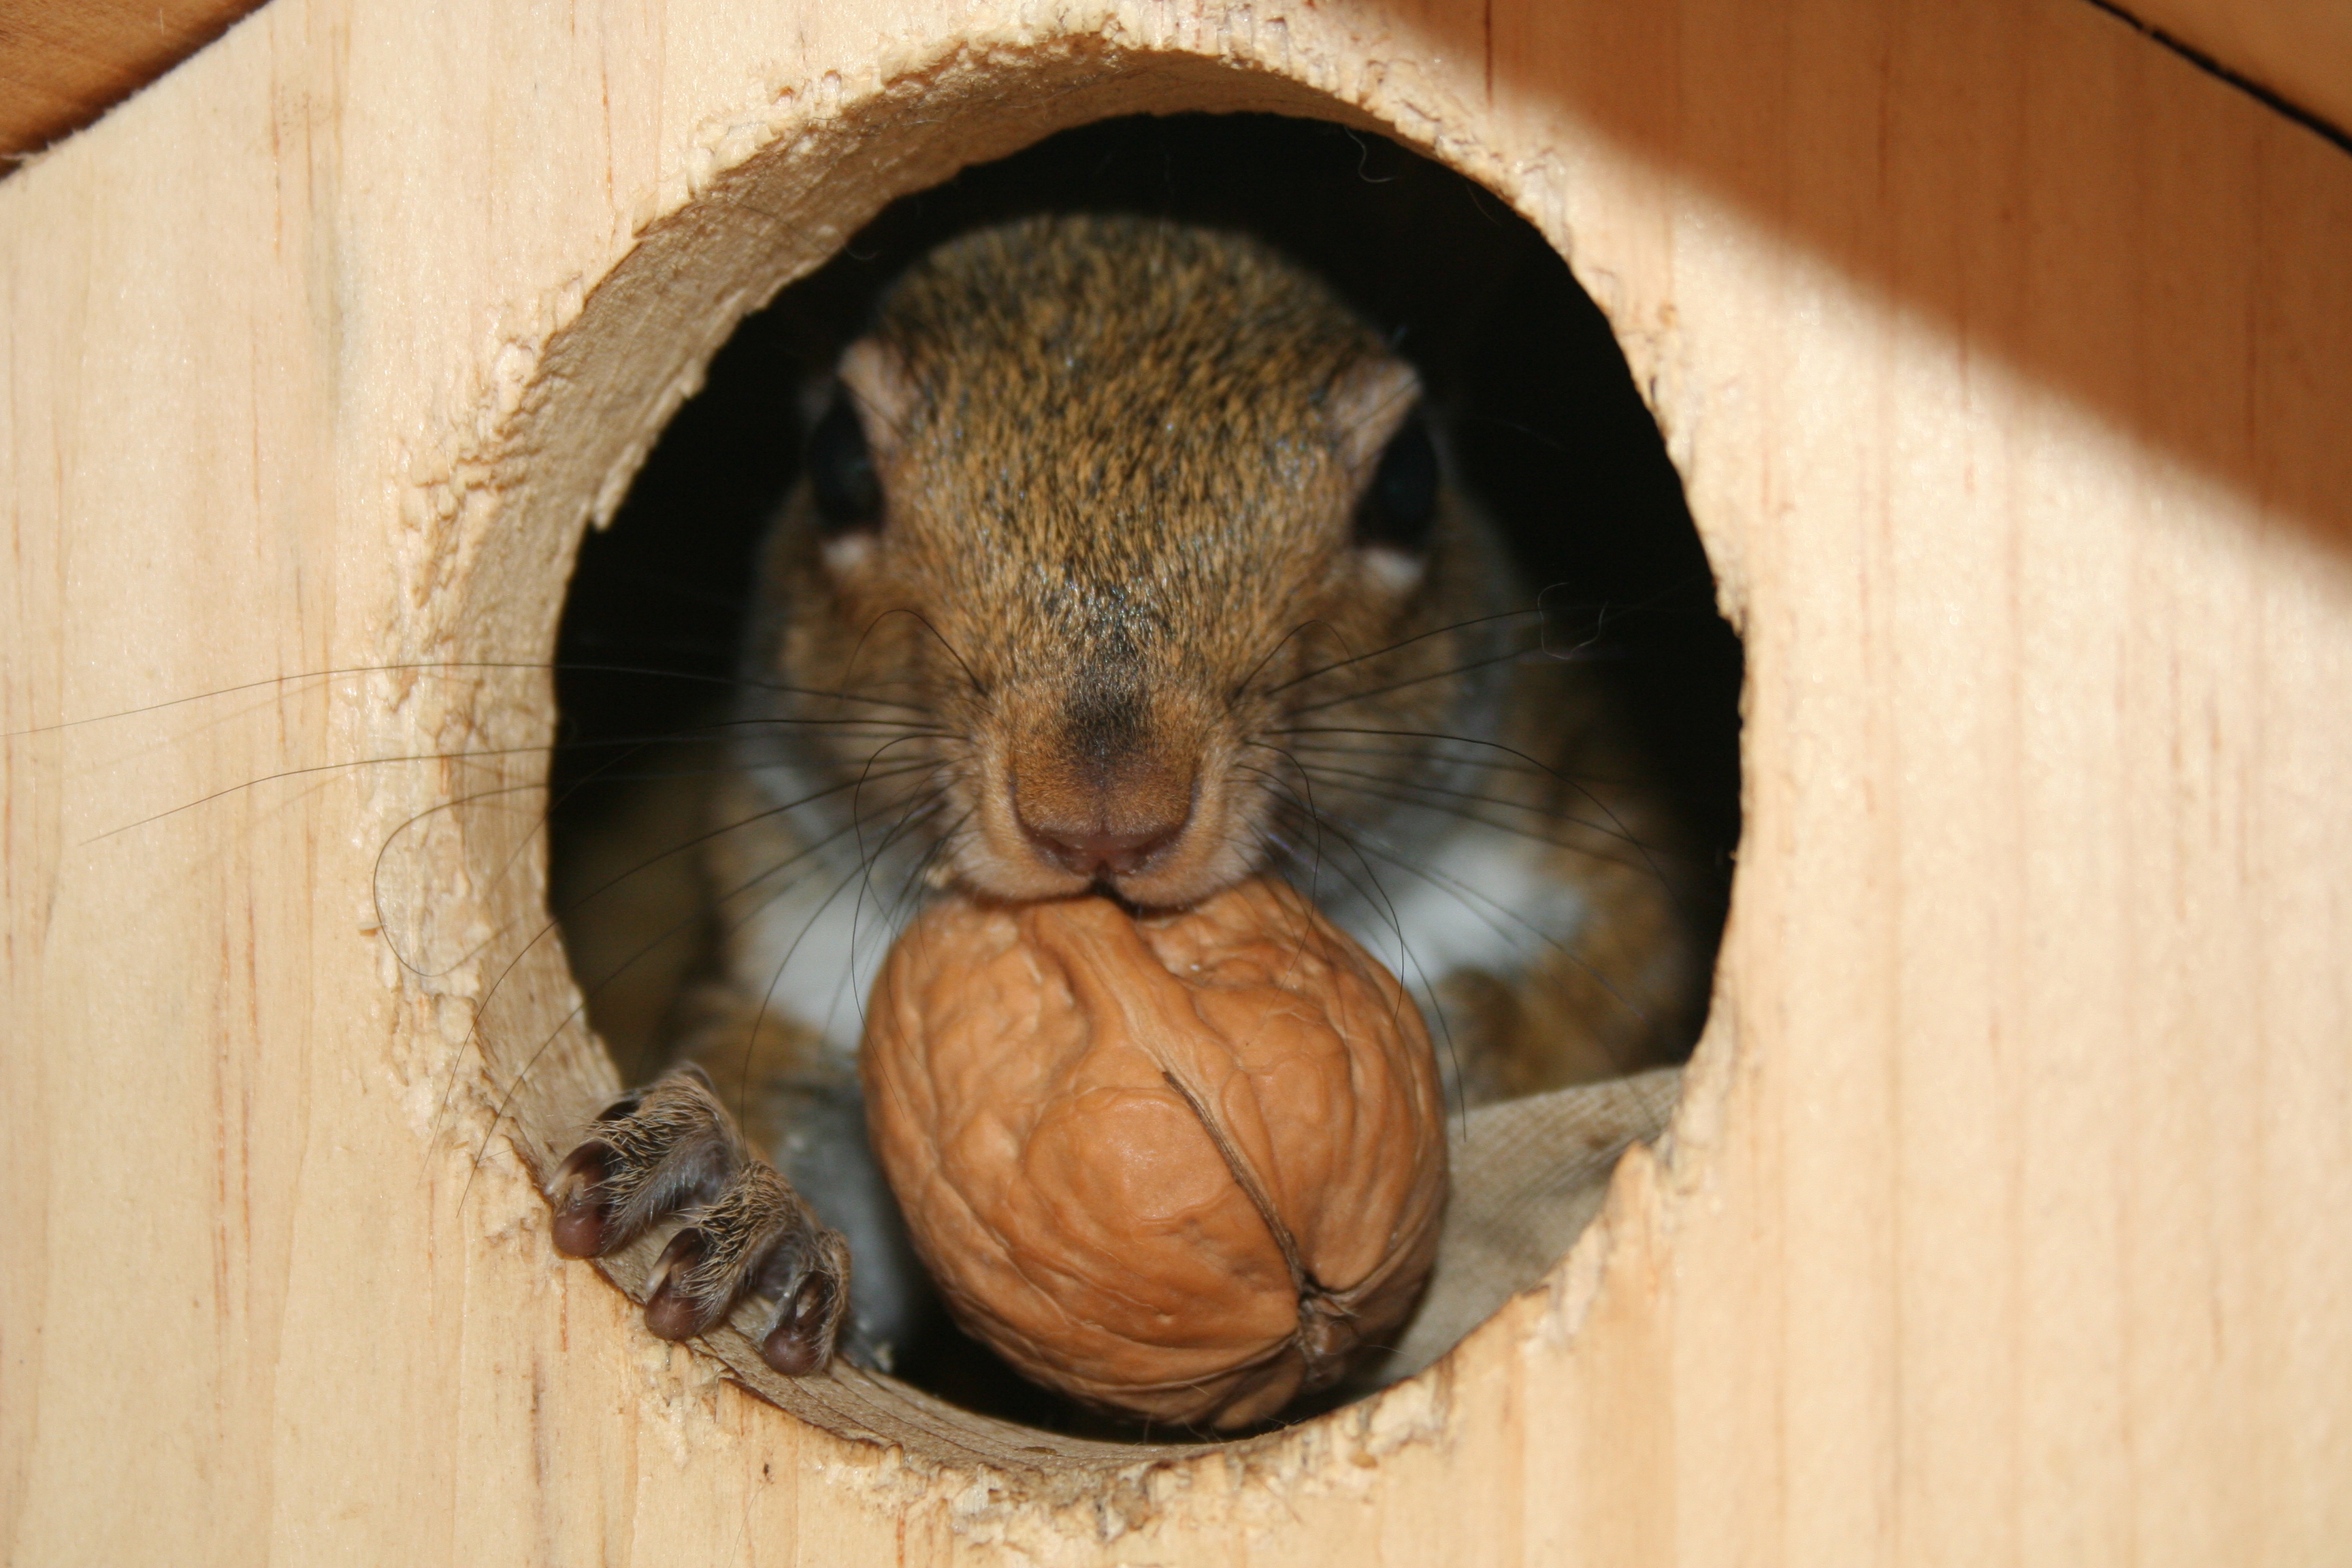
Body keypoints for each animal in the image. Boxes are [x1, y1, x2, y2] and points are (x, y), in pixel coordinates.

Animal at [540, 211, 1703, 1401]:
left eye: (1412, 482)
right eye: (838, 464)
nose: (1103, 816)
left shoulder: (1580, 835)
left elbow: (1618, 994)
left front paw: (1473, 1036)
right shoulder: (791, 937)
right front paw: (746, 1198)